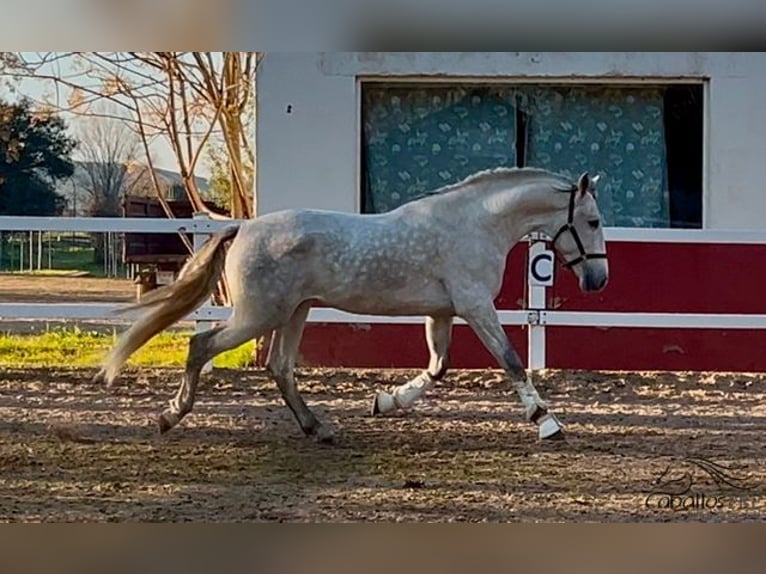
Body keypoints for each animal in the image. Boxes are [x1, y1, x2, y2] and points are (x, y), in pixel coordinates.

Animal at [97, 168, 612, 446]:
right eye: (592, 221)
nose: (598, 280)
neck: (475, 224)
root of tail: (242, 227)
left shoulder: (444, 311)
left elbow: (439, 366)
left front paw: (384, 402)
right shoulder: (474, 305)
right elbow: (511, 361)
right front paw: (547, 423)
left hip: (295, 312)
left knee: (280, 367)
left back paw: (319, 429)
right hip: (260, 315)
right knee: (201, 345)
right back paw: (169, 416)